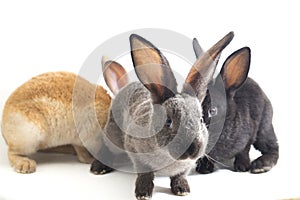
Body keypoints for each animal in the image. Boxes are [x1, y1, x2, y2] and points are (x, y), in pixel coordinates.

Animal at [90, 32, 236, 199]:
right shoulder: (135, 150)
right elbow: (145, 174)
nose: (192, 148)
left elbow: (179, 176)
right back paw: (98, 168)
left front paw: (182, 189)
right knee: (106, 147)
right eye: (168, 121)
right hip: (113, 134)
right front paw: (143, 193)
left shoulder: (185, 167)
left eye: (201, 120)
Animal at [193, 38, 280, 174]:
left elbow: (244, 150)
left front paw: (242, 167)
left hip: (264, 127)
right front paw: (204, 167)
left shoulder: (249, 133)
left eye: (213, 111)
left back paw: (260, 165)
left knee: (273, 147)